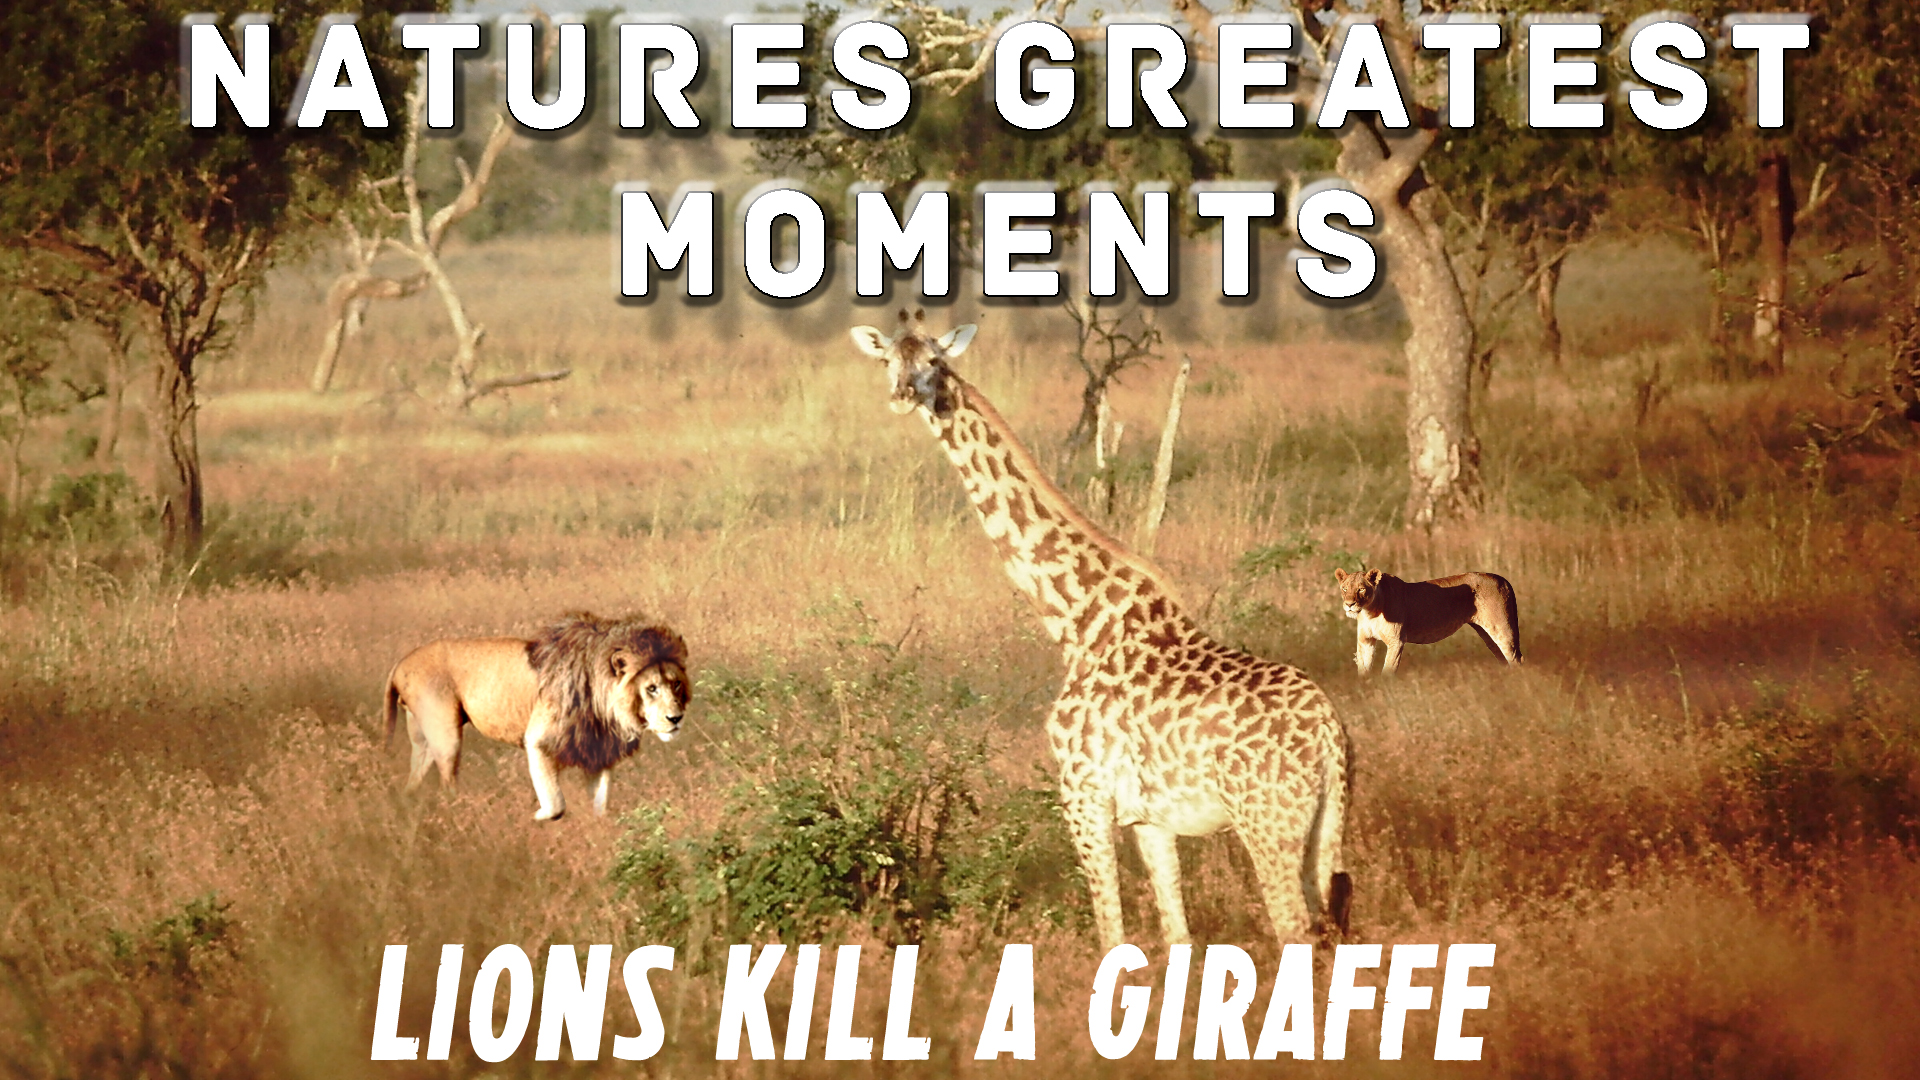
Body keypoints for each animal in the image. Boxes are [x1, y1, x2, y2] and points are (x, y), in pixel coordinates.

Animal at [383, 613, 691, 820]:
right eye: (651, 688)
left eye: (676, 684)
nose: (675, 718)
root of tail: (401, 662)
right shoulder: (537, 739)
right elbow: (556, 803)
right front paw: (537, 816)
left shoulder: (597, 751)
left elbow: (600, 804)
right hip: (447, 737)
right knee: (447, 785)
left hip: (423, 739)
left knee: (412, 783)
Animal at [851, 312, 1352, 948]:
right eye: (889, 360)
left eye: (935, 362)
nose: (902, 395)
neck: (1077, 621)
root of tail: (1329, 736)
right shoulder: (1149, 817)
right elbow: (1177, 935)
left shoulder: (1082, 796)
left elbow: (1110, 934)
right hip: (1327, 824)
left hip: (1266, 822)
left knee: (1294, 930)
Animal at [1334, 567, 1522, 676]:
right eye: (1344, 589)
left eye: (1361, 589)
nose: (1349, 604)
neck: (1369, 612)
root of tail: (1502, 579)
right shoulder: (1365, 641)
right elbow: (1363, 671)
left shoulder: (1396, 641)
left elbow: (1388, 671)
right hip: (1487, 634)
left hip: (1501, 629)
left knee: (1515, 658)